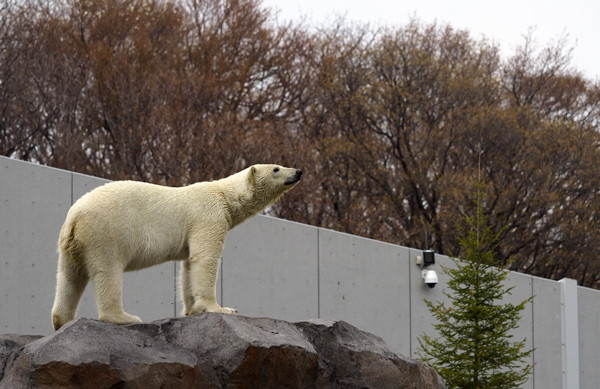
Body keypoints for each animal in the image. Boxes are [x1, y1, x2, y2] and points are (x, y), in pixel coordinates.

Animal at [51, 165, 302, 328]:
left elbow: (188, 266)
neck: (224, 194)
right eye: (276, 168)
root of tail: (74, 217)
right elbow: (205, 258)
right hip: (105, 232)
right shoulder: (208, 216)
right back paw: (124, 317)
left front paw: (191, 310)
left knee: (70, 277)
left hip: (72, 244)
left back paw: (62, 320)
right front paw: (221, 308)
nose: (298, 171)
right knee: (107, 272)